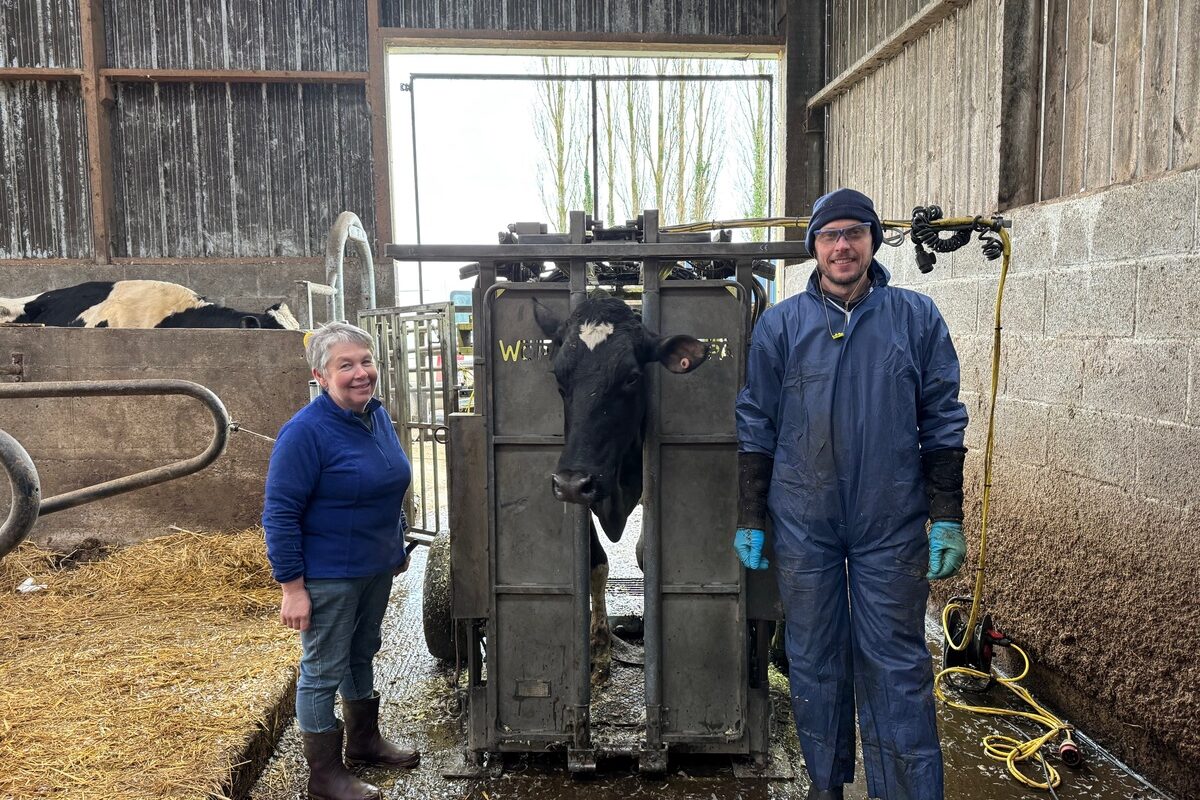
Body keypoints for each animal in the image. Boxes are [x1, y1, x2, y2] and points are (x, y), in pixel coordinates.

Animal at [530, 297, 705, 681]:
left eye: (632, 377)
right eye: (559, 378)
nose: (570, 482)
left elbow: (645, 556)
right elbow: (596, 564)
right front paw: (598, 650)